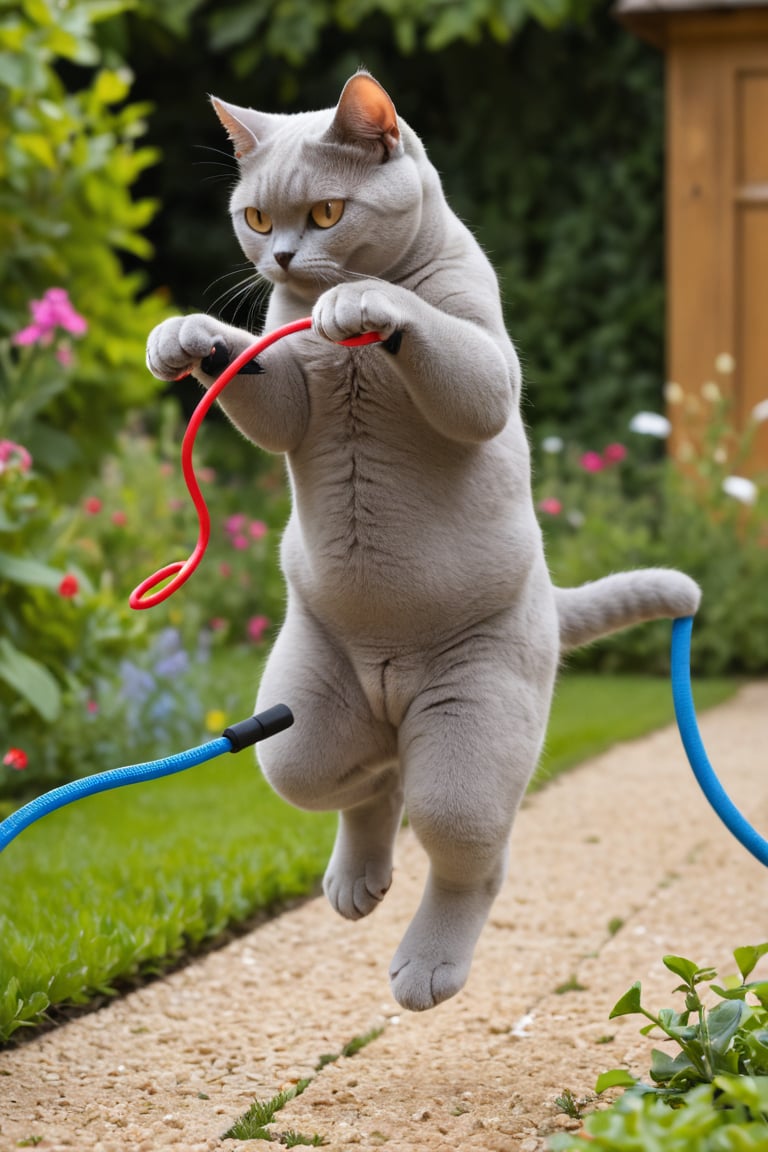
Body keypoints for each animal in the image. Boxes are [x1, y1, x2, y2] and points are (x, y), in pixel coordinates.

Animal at [145, 69, 704, 1009]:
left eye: (326, 212)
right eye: (256, 218)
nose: (283, 260)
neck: (350, 357)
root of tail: (390, 683)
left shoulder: (484, 368)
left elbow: (436, 340)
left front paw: (368, 304)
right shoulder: (291, 404)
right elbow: (262, 379)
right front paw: (191, 336)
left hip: (470, 736)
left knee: (469, 850)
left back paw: (426, 966)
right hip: (303, 724)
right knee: (367, 781)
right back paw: (357, 881)